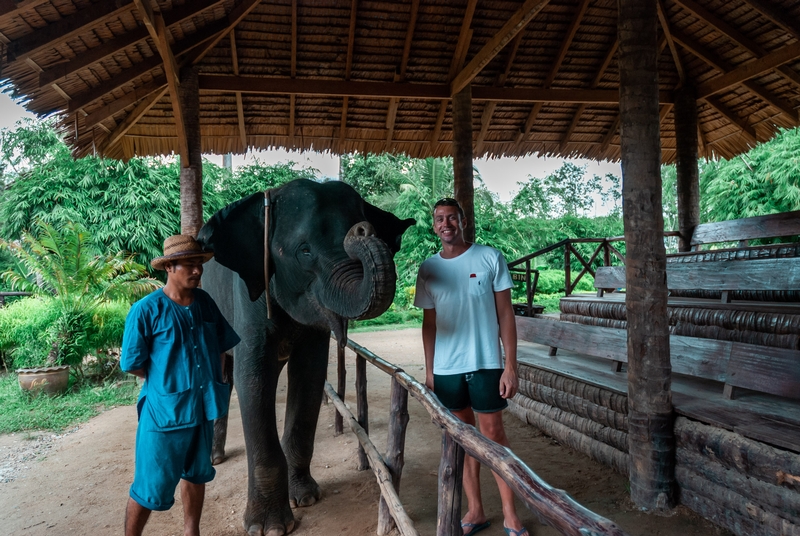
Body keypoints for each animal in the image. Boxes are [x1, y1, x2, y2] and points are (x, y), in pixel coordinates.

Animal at [198, 180, 412, 536]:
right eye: (305, 251)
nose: (362, 230)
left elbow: (310, 376)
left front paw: (305, 498)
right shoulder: (247, 299)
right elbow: (252, 381)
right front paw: (269, 528)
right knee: (221, 378)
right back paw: (213, 459)